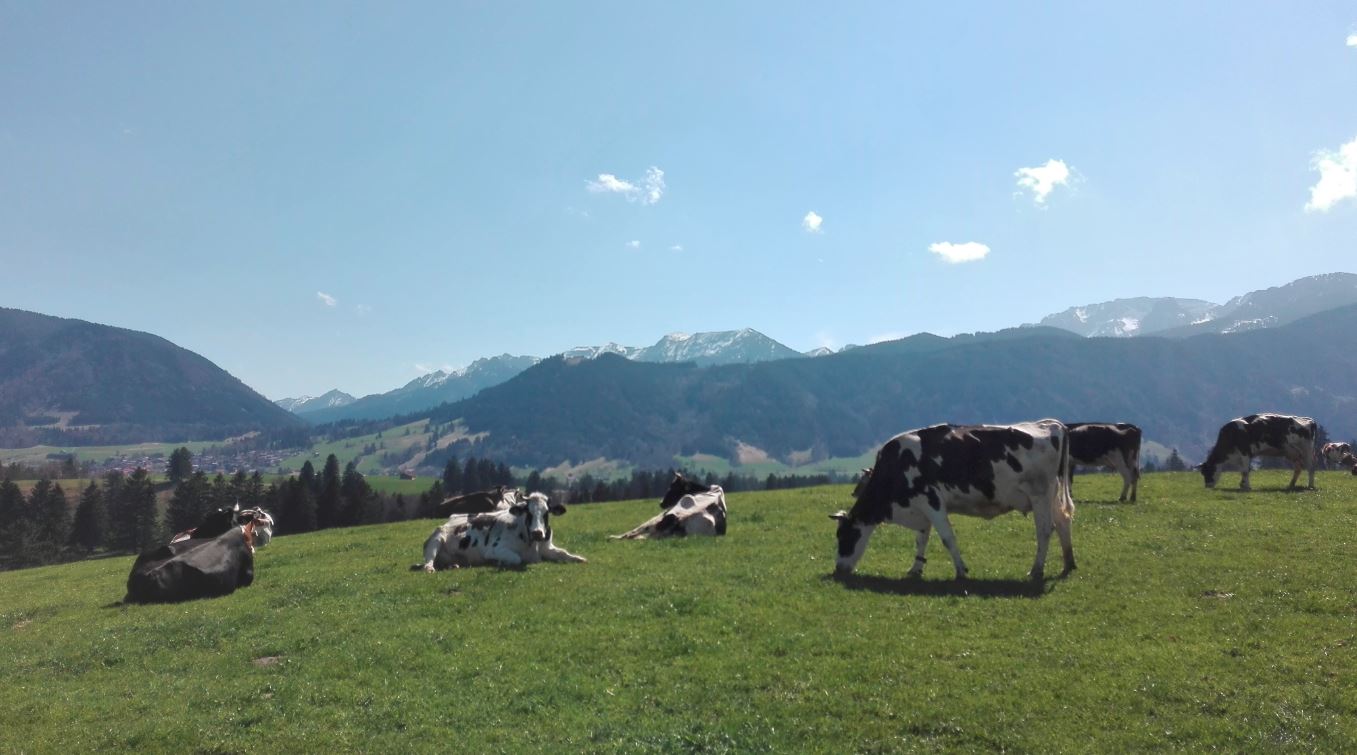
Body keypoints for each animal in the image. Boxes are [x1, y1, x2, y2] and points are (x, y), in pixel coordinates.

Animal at [414, 492, 586, 571]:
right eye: (528, 512)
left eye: (546, 512)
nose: (538, 533)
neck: (533, 546)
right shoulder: (494, 550)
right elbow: (516, 558)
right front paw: (500, 562)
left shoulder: (547, 547)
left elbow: (563, 553)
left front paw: (579, 558)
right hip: (435, 541)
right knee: (428, 563)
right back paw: (430, 568)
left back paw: (453, 565)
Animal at [830, 420, 1075, 581]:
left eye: (844, 536)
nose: (838, 569)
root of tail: (1051, 424)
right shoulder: (921, 507)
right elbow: (921, 539)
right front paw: (915, 569)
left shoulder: (932, 501)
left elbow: (947, 538)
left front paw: (960, 571)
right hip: (1052, 496)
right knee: (1063, 522)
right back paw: (1069, 563)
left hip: (1040, 495)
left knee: (1045, 530)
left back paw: (1036, 570)